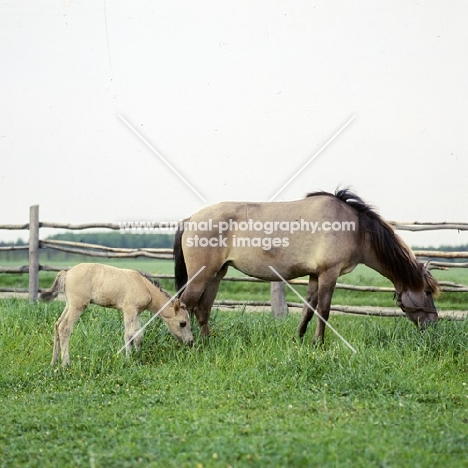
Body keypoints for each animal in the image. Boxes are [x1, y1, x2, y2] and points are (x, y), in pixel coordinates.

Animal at [41, 264, 193, 366]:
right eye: (182, 323)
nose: (190, 342)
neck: (144, 286)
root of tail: (67, 273)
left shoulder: (137, 312)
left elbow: (139, 336)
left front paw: (138, 358)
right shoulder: (129, 310)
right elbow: (129, 335)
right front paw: (127, 360)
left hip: (69, 304)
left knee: (57, 324)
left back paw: (54, 362)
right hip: (78, 305)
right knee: (65, 328)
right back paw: (65, 363)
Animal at [174, 187, 440, 344]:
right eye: (427, 292)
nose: (434, 324)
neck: (355, 228)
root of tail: (191, 219)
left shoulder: (315, 275)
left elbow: (308, 310)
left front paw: (299, 339)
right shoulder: (329, 274)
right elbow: (324, 310)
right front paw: (318, 343)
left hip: (216, 275)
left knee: (202, 309)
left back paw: (207, 343)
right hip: (201, 276)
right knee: (183, 306)